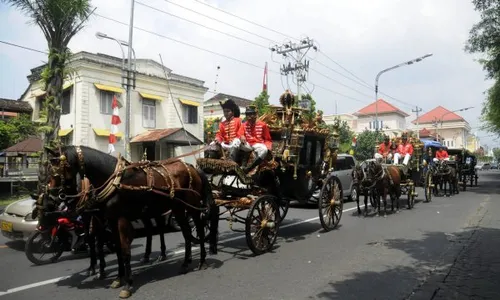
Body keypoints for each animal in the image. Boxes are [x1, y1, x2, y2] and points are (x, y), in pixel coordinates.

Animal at [45, 145, 219, 298]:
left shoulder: (120, 219)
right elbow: (117, 250)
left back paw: (202, 261)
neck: (113, 179)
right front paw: (118, 278)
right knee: (186, 232)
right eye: (49, 167)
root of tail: (192, 167)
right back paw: (185, 263)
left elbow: (124, 250)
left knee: (199, 228)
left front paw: (127, 284)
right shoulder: (111, 220)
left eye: (61, 167)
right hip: (177, 208)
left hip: (193, 206)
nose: (52, 195)